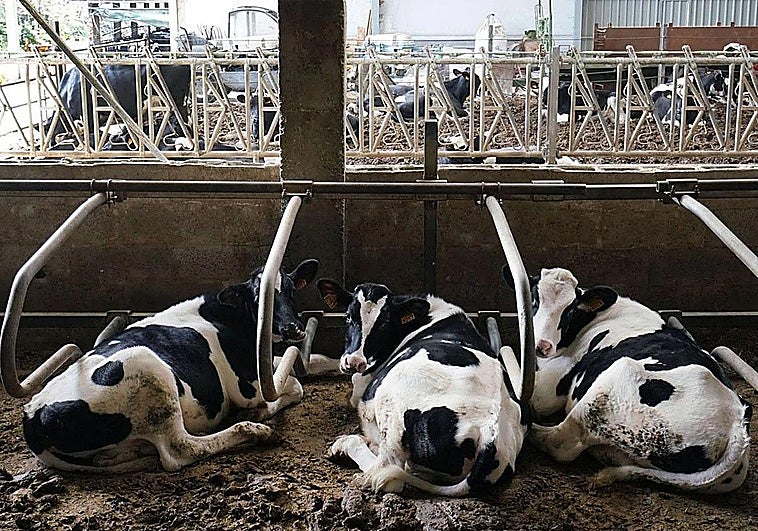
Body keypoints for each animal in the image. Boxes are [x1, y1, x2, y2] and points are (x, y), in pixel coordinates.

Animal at [22, 259, 320, 473]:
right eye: (258, 297)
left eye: (292, 290)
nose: (292, 327)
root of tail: (32, 415)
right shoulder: (247, 387)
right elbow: (295, 385)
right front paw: (261, 412)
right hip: (147, 370)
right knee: (180, 450)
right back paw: (255, 431)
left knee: (113, 457)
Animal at [317, 279, 528, 497]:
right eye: (348, 316)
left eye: (385, 324)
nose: (354, 362)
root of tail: (490, 434)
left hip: (394, 402)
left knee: (387, 472)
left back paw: (344, 446)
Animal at [502, 267, 752, 493]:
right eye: (534, 302)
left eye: (570, 311)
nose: (541, 346)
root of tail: (737, 425)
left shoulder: (548, 390)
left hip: (615, 380)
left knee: (560, 441)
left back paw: (531, 429)